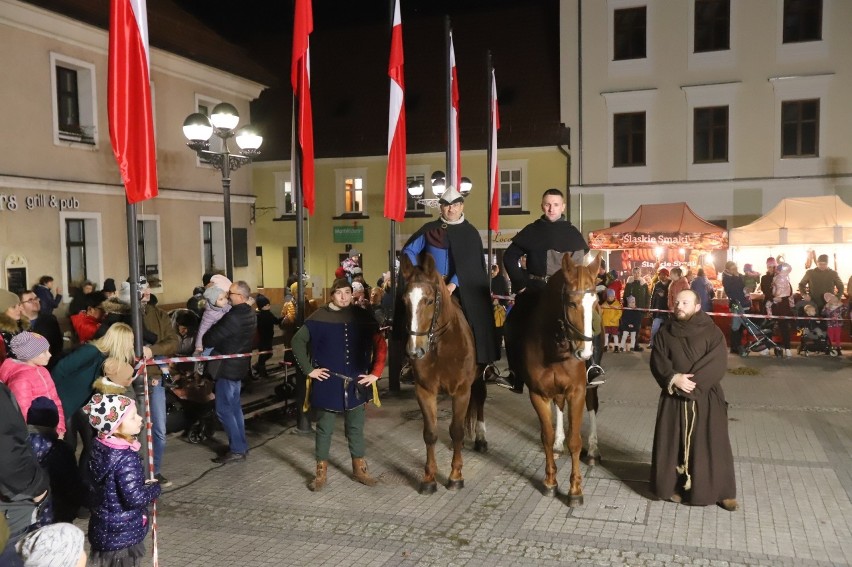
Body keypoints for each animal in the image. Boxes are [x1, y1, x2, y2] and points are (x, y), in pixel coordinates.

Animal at [400, 255, 486, 494]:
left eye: (429, 301)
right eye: (404, 301)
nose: (415, 351)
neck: (441, 345)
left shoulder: (462, 391)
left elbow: (456, 430)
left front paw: (455, 476)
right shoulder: (425, 391)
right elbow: (430, 433)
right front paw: (429, 478)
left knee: (480, 402)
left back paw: (481, 438)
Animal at [516, 253, 604, 506]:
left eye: (594, 301)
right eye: (572, 303)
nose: (584, 352)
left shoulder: (577, 391)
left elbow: (575, 440)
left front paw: (575, 490)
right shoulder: (538, 393)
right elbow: (545, 436)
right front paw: (550, 481)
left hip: (589, 387)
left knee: (592, 406)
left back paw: (593, 450)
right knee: (558, 405)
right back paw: (558, 443)